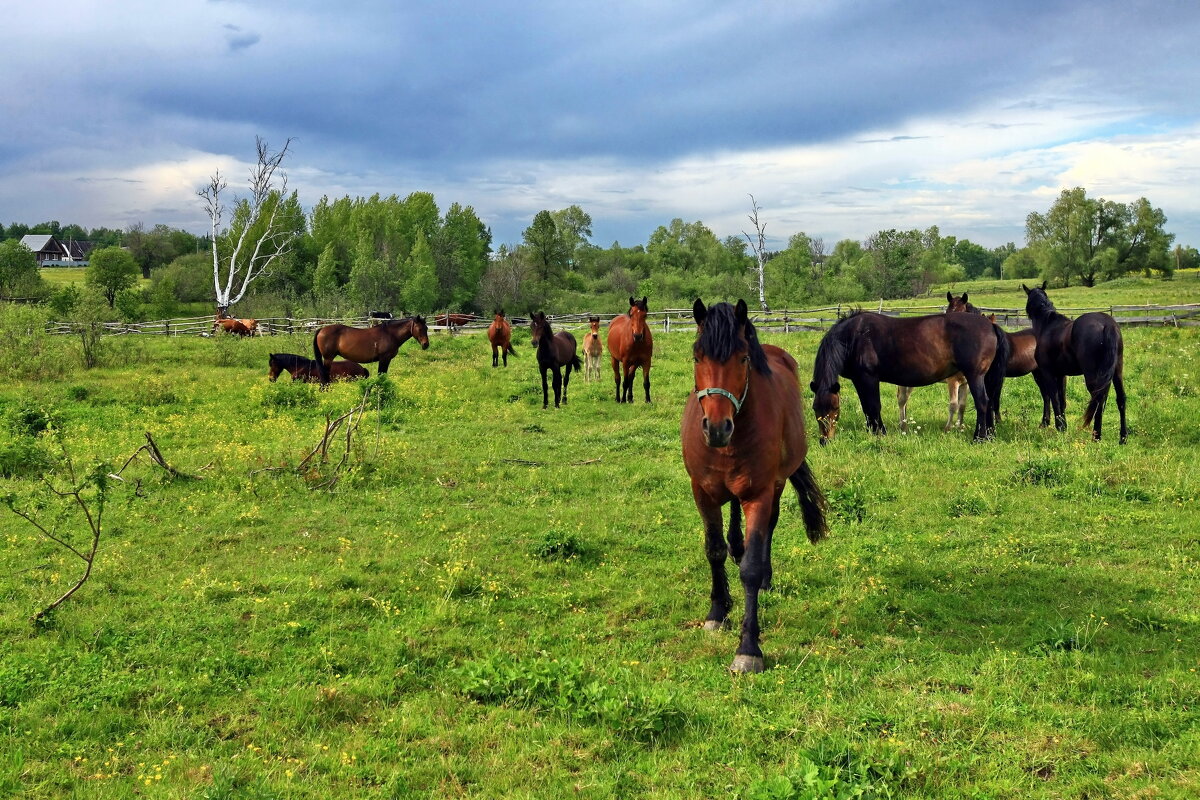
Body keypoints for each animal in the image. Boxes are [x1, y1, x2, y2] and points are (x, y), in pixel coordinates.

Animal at [681, 299, 830, 676]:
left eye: (743, 358)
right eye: (697, 357)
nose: (717, 428)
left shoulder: (759, 494)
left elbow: (750, 567)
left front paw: (748, 649)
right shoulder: (702, 493)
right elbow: (714, 549)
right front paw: (717, 613)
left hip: (774, 487)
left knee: (767, 532)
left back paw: (764, 578)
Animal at [811, 309, 1008, 443]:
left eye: (835, 408)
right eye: (815, 409)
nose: (825, 440)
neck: (854, 337)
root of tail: (990, 325)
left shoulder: (868, 378)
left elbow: (874, 406)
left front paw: (880, 433)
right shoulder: (859, 380)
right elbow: (867, 408)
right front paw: (872, 431)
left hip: (974, 376)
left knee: (982, 402)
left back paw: (979, 437)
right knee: (990, 402)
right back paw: (990, 435)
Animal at [1022, 281, 1123, 443]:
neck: (1048, 325)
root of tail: (1107, 325)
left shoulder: (1048, 374)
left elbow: (1054, 399)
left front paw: (1060, 427)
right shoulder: (1061, 375)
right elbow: (1062, 400)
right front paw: (1064, 426)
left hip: (1092, 376)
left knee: (1098, 400)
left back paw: (1096, 436)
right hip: (1116, 372)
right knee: (1120, 400)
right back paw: (1123, 438)